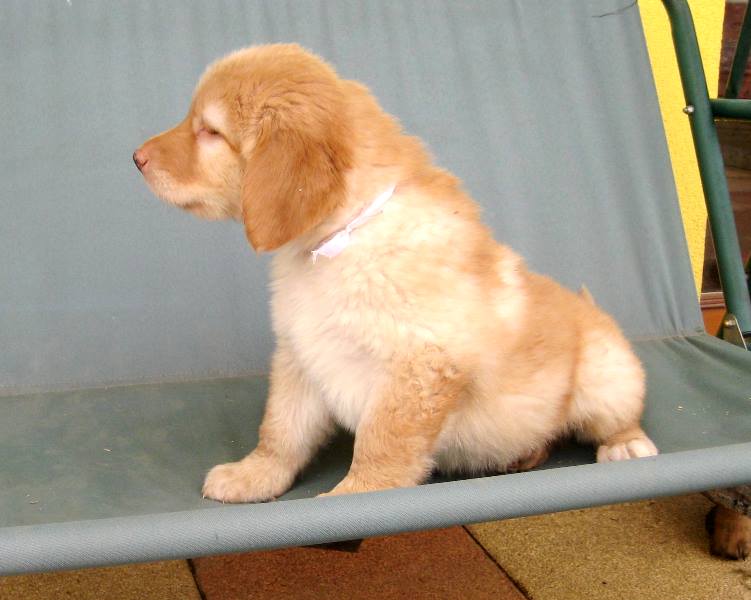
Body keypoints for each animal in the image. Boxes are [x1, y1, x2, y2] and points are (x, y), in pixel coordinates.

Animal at [134, 44, 658, 502]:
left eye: (209, 131)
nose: (136, 158)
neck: (343, 238)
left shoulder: (419, 366)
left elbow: (382, 443)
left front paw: (353, 498)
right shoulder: (301, 354)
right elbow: (281, 428)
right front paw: (254, 476)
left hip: (606, 374)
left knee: (617, 416)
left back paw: (625, 445)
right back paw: (524, 455)